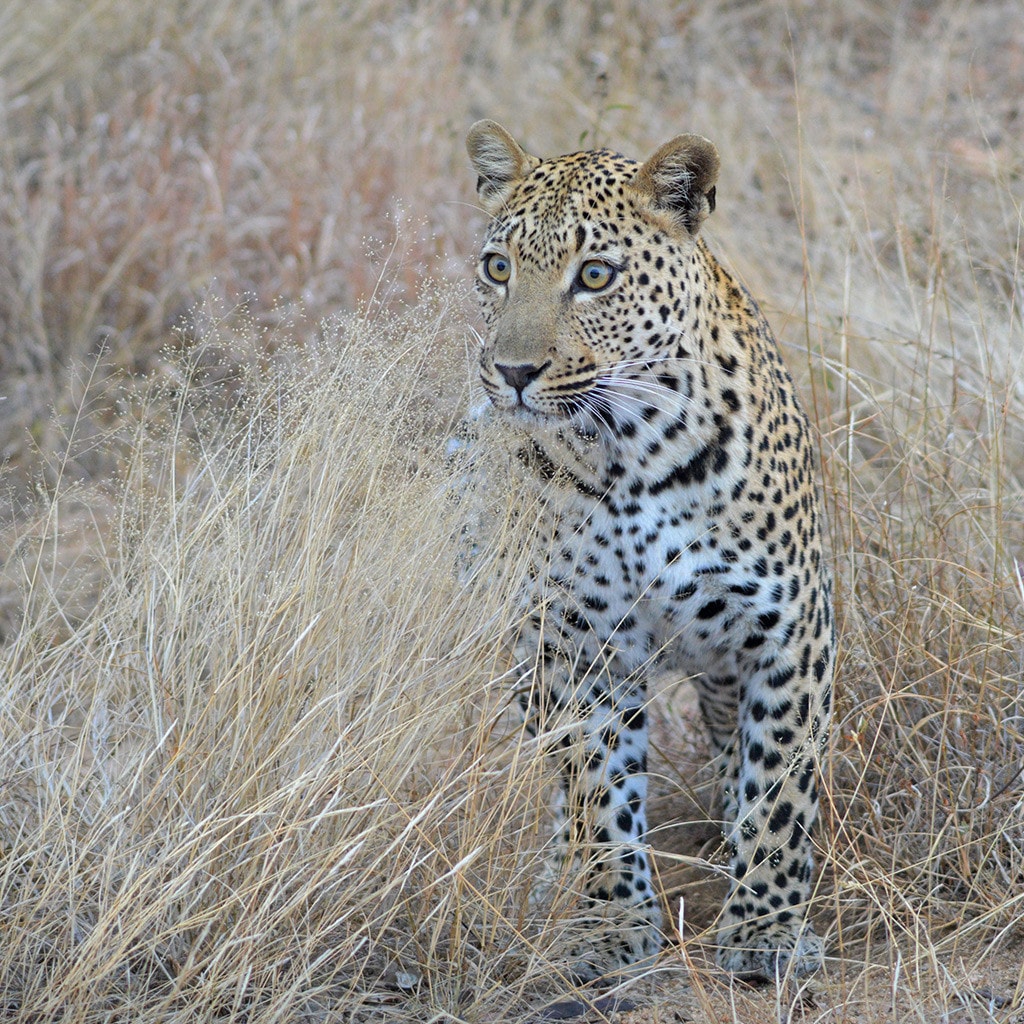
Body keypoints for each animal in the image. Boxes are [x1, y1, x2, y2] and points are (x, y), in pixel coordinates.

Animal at [463, 119, 834, 983]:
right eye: (498, 269)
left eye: (594, 276)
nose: (513, 372)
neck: (632, 451)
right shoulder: (579, 644)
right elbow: (599, 790)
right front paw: (609, 923)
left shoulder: (791, 629)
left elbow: (781, 788)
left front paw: (766, 928)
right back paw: (555, 875)